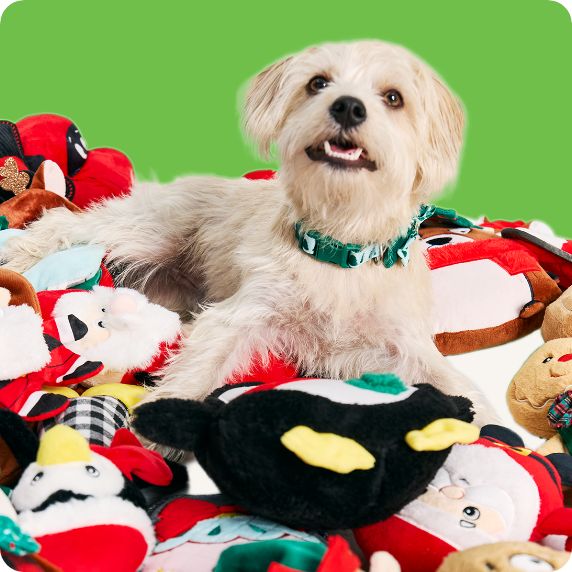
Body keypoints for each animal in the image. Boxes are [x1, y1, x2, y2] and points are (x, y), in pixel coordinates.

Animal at [2, 40, 496, 422]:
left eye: (393, 98)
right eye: (318, 83)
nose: (347, 106)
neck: (339, 246)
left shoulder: (402, 346)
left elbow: (460, 389)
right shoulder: (241, 315)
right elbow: (198, 369)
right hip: (147, 231)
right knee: (67, 223)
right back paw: (21, 257)